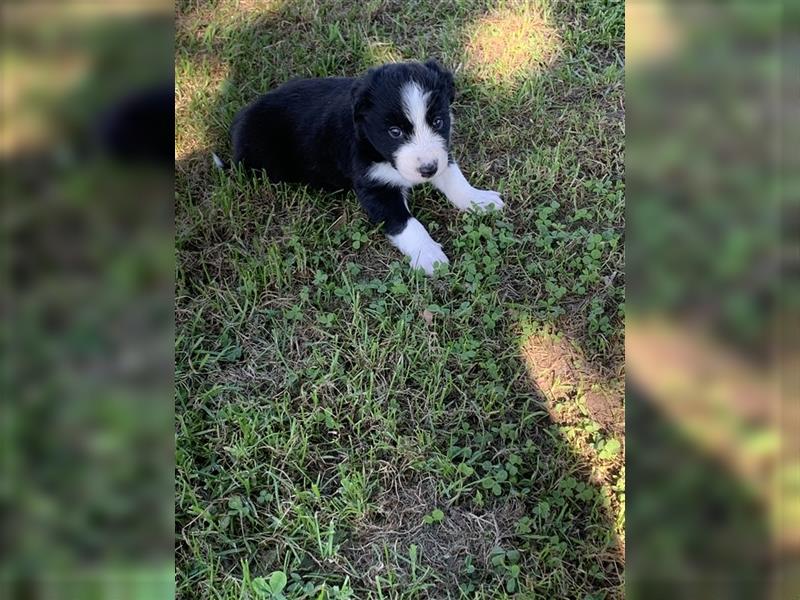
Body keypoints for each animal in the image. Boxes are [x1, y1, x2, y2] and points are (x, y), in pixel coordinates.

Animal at [222, 59, 504, 276]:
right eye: (394, 132)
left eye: (437, 122)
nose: (427, 170)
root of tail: (241, 116)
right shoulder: (374, 187)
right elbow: (406, 223)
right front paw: (428, 254)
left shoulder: (442, 155)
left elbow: (454, 179)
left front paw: (479, 200)